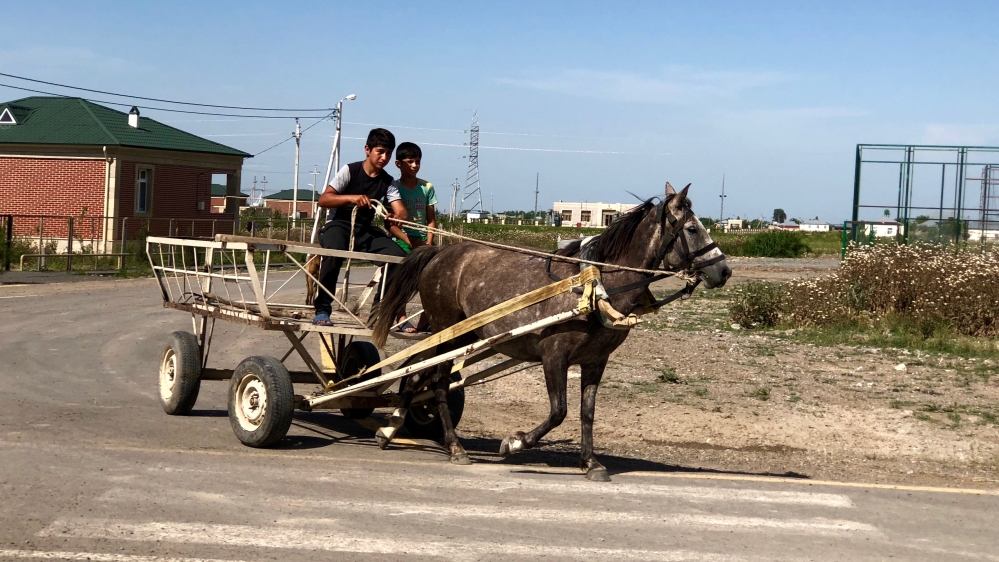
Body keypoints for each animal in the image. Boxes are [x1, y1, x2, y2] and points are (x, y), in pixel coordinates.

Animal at [372, 185, 732, 482]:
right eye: (692, 228)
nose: (725, 270)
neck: (595, 287)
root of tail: (439, 253)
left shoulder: (595, 361)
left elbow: (587, 413)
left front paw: (591, 463)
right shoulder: (553, 356)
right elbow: (559, 411)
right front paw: (515, 442)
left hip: (458, 335)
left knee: (419, 373)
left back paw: (391, 426)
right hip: (447, 330)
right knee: (436, 381)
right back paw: (454, 446)